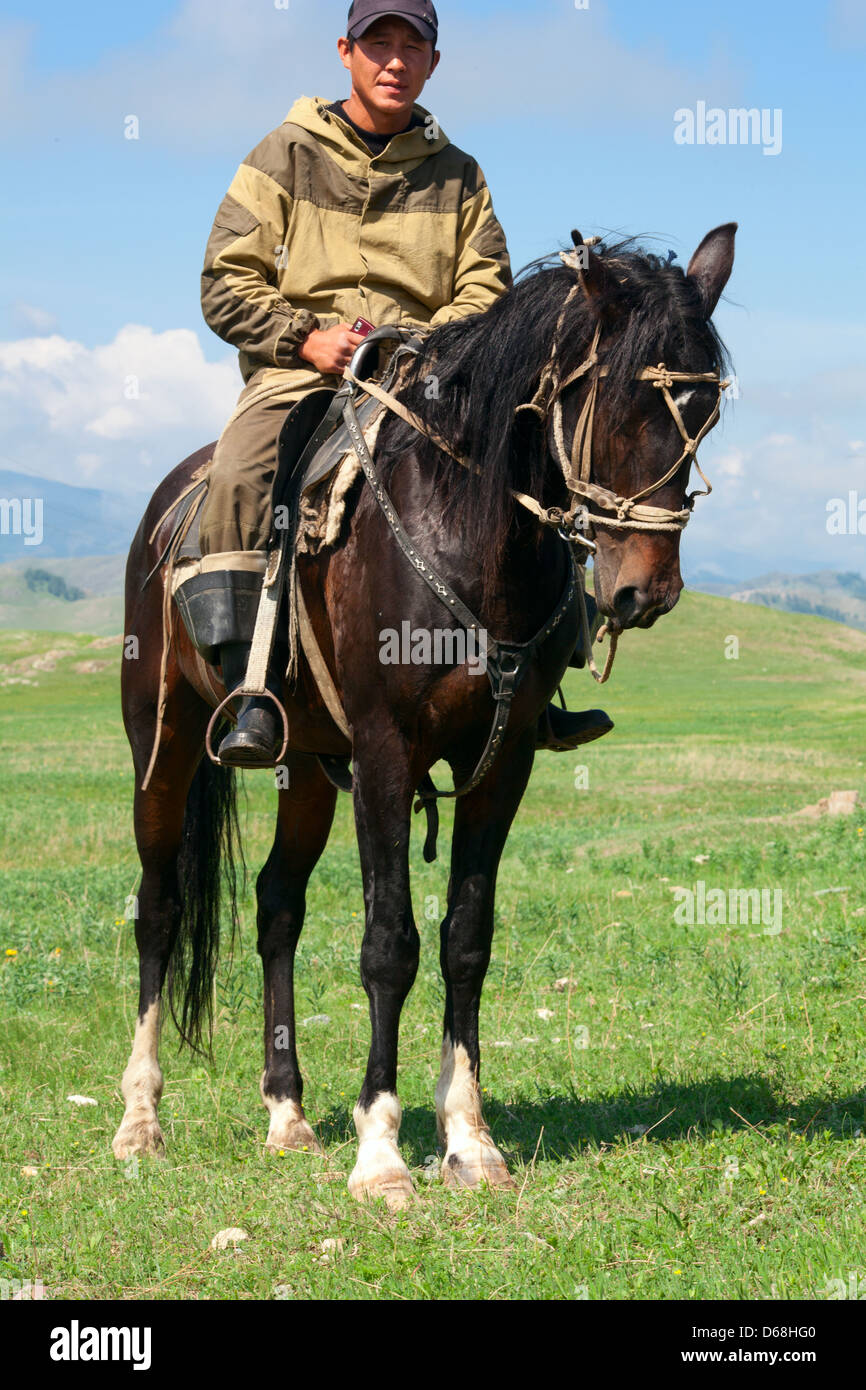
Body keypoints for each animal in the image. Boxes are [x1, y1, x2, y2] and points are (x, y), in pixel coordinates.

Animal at [112, 224, 736, 1209]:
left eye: (704, 411)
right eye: (613, 402)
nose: (645, 591)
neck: (469, 529)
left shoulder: (502, 761)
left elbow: (465, 941)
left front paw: (469, 1141)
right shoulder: (385, 754)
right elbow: (389, 945)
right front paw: (382, 1152)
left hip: (304, 766)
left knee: (277, 907)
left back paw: (287, 1115)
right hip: (163, 744)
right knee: (161, 909)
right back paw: (140, 1121)